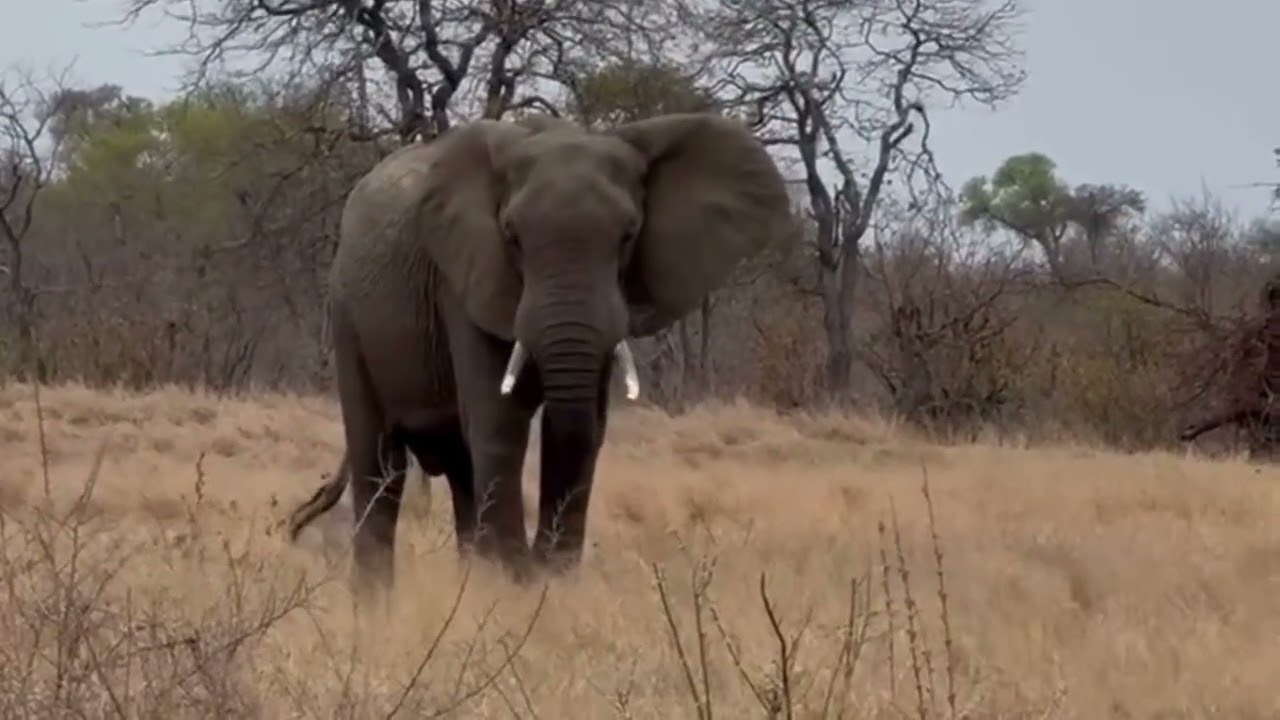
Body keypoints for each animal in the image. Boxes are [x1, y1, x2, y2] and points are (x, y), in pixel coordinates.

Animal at [284, 111, 792, 592]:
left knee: (460, 469)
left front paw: (545, 582)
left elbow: (584, 428)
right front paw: (516, 583)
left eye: (629, 235)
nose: (540, 563)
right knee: (380, 464)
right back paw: (378, 604)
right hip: (347, 313)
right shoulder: (465, 279)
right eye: (511, 235)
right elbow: (500, 419)